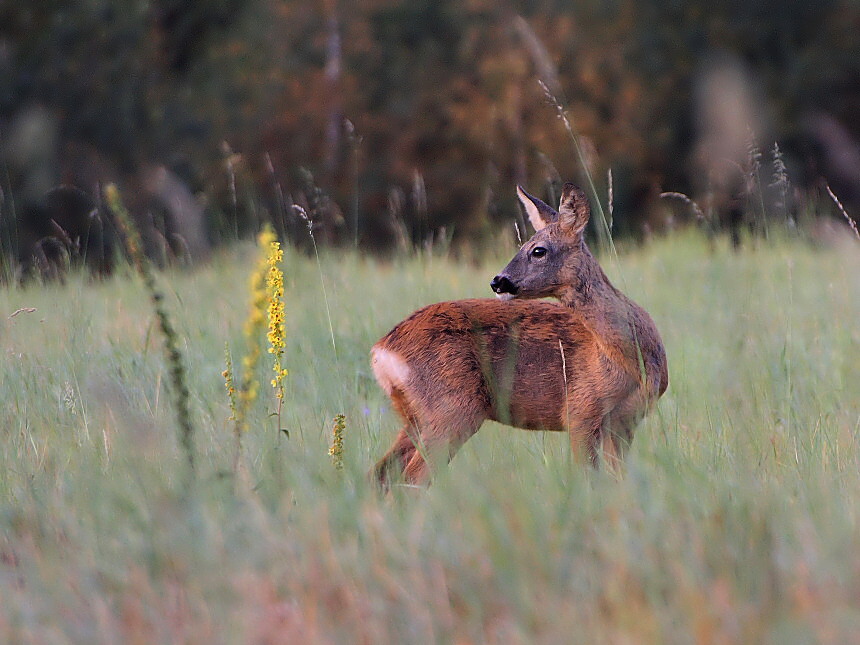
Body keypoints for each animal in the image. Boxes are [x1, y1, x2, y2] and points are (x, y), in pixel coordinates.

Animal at [370, 182, 668, 490]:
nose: (498, 281)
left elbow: (620, 480)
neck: (630, 359)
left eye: (538, 250)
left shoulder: (625, 421)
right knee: (412, 478)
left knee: (381, 473)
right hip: (450, 409)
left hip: (414, 416)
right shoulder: (581, 411)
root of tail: (382, 351)